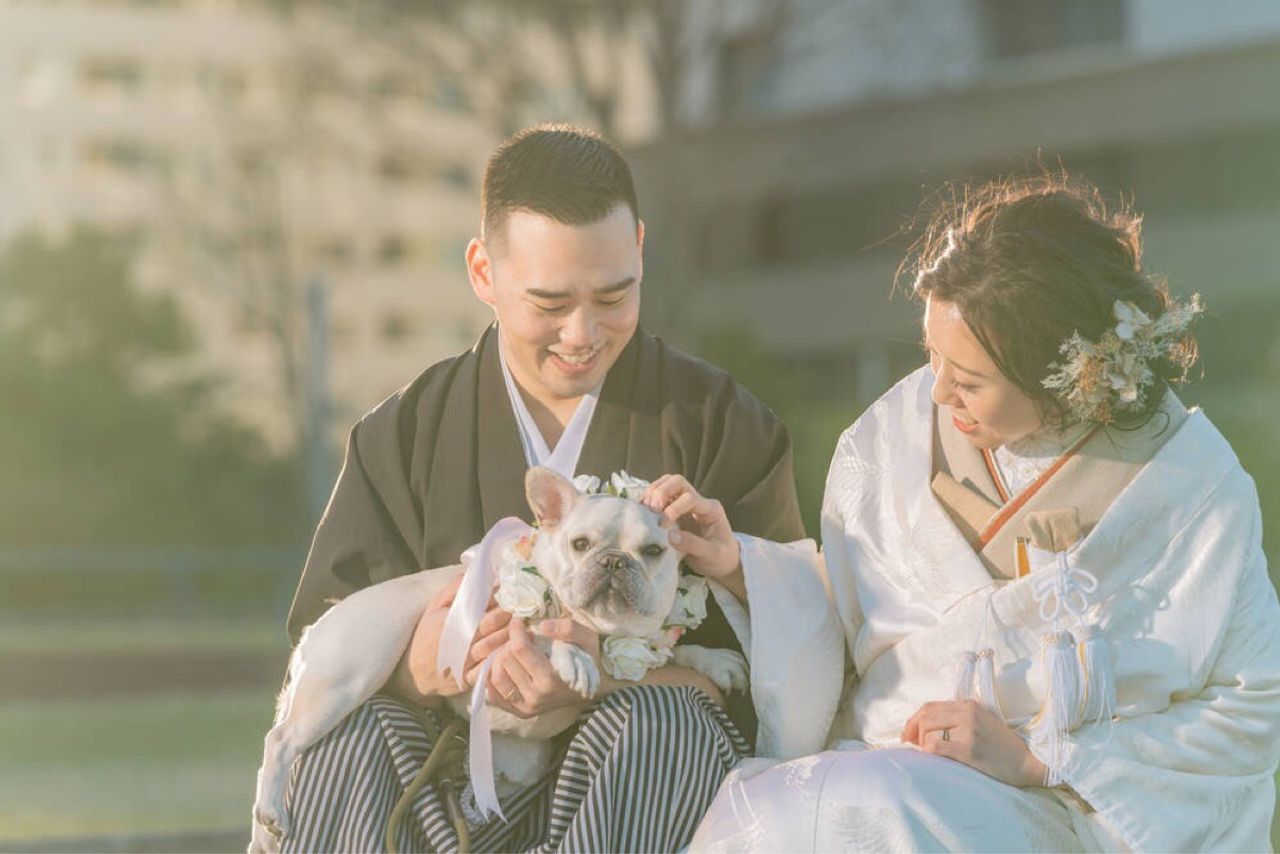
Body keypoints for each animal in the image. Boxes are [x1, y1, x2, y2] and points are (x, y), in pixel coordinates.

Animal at [250, 467, 749, 852]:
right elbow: (549, 626)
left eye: (653, 551)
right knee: (280, 739)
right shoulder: (502, 624)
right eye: (580, 544)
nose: (613, 562)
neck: (605, 628)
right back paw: (271, 810)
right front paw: (573, 653)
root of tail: (316, 628)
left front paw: (715, 659)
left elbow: (670, 651)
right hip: (350, 675)